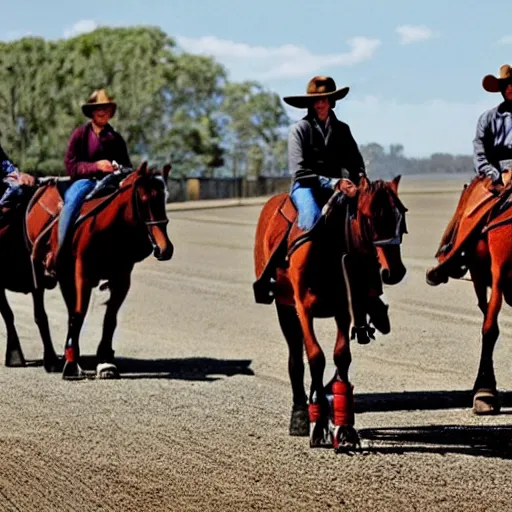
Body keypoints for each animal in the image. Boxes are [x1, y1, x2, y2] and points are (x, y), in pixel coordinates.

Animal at [21, 162, 173, 378]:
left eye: (164, 198)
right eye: (143, 199)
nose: (165, 248)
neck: (109, 229)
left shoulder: (122, 278)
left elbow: (109, 319)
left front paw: (105, 361)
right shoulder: (82, 275)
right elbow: (79, 314)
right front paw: (71, 363)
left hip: (66, 277)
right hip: (41, 274)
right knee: (42, 314)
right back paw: (51, 360)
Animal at [253, 177, 408, 452]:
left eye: (402, 215)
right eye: (370, 217)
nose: (395, 271)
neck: (330, 248)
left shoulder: (343, 309)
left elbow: (341, 356)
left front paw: (344, 427)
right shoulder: (303, 308)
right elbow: (315, 357)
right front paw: (317, 423)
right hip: (284, 306)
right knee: (296, 359)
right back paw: (301, 415)